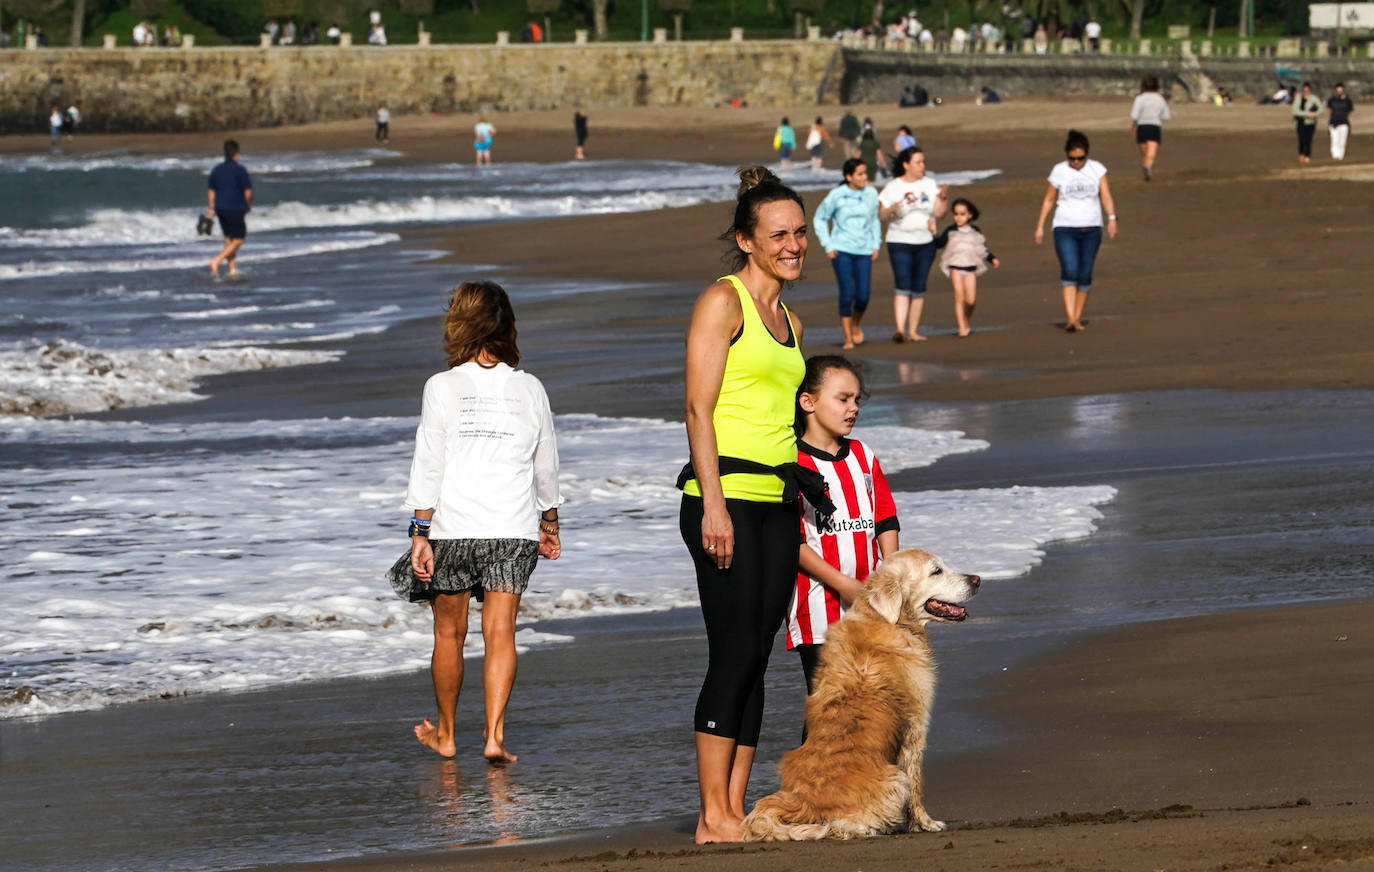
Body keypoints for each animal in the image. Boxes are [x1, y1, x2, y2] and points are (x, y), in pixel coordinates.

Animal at [741, 549, 978, 840]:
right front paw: (926, 823)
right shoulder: (914, 728)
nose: (977, 580)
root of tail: (801, 802)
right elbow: (916, 784)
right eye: (936, 571)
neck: (890, 621)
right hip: (894, 779)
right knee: (844, 823)